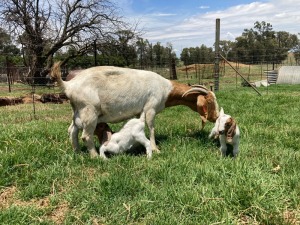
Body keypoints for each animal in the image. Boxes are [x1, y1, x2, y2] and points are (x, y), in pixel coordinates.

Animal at [50, 61, 219, 156]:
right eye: (210, 101)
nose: (216, 117)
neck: (166, 89)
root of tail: (69, 85)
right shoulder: (150, 108)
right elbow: (151, 128)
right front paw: (156, 149)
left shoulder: (140, 112)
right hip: (89, 112)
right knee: (86, 136)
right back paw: (94, 156)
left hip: (78, 113)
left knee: (72, 131)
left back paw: (77, 152)